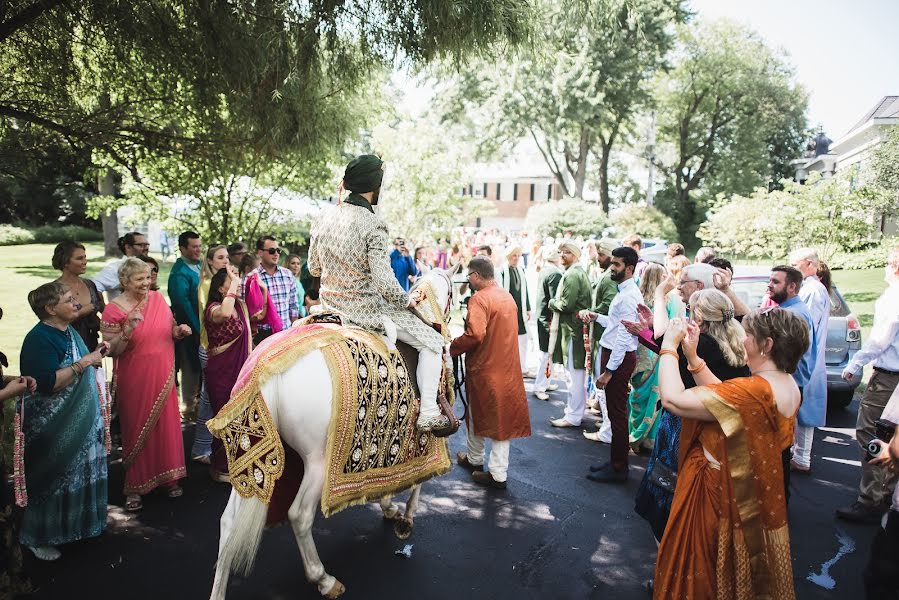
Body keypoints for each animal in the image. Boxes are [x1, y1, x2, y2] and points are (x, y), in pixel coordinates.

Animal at [211, 270, 458, 596]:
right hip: (316, 461)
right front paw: (405, 518)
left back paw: (218, 591)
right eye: (453, 293)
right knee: (299, 515)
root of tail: (266, 371)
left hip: (249, 458)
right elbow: (419, 481)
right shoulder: (426, 440)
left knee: (228, 521)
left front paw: (389, 507)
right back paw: (324, 579)